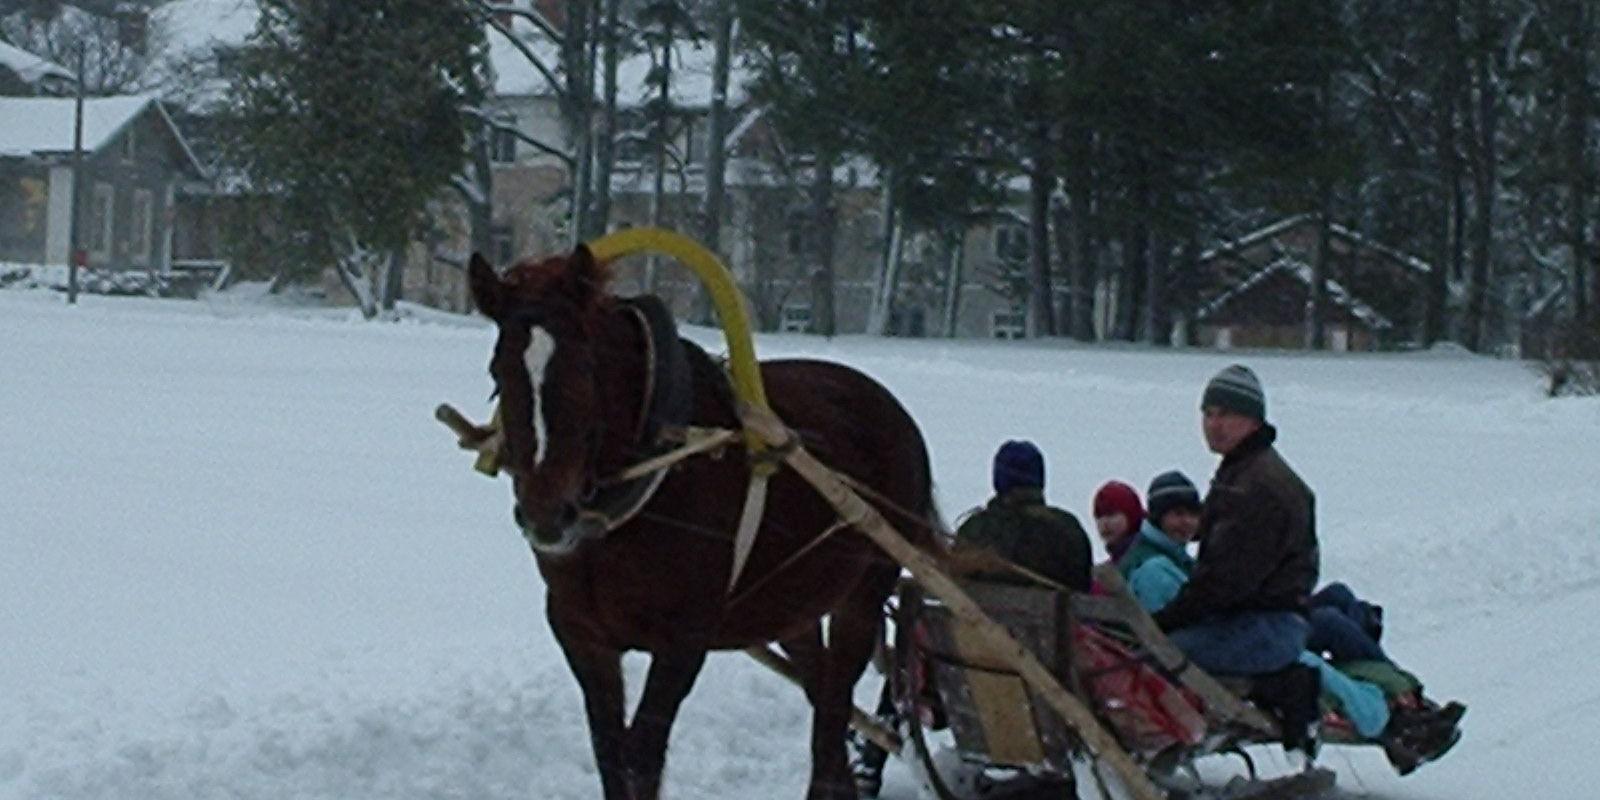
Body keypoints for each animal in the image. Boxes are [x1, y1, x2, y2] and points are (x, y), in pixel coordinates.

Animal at [464, 244, 934, 800]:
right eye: (498, 375)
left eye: (586, 371)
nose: (547, 515)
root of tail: (896, 416)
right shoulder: (583, 635)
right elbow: (610, 756)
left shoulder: (683, 639)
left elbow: (640, 759)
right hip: (791, 608)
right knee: (824, 700)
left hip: (861, 597)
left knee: (831, 716)